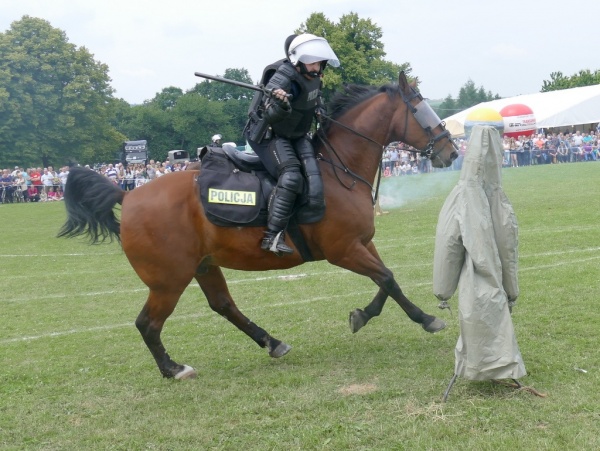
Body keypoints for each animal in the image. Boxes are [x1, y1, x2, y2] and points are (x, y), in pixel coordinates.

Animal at [59, 72, 454, 380]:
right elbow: (387, 278)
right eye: (419, 108)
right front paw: (426, 318)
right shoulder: (344, 251)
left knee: (223, 306)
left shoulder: (361, 244)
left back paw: (272, 342)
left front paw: (366, 315)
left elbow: (386, 280)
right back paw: (174, 369)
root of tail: (128, 196)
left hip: (203, 266)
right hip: (168, 281)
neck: (338, 169)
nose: (449, 151)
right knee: (148, 324)